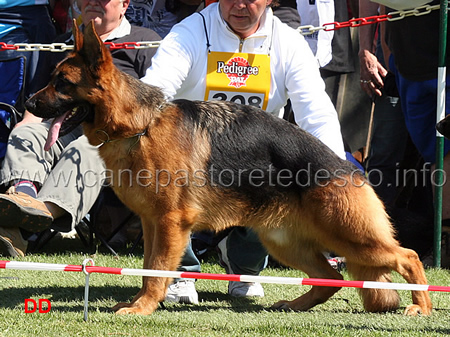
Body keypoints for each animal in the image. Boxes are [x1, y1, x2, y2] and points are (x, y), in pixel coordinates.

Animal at [25, 22, 432, 316]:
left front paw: (142, 308)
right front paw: (142, 302)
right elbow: (147, 269)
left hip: (350, 238)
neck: (141, 125)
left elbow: (156, 271)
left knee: (407, 256)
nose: (28, 102)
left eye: (62, 83)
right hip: (286, 242)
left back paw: (421, 306)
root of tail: (350, 167)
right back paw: (295, 304)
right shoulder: (153, 224)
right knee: (329, 277)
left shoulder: (170, 223)